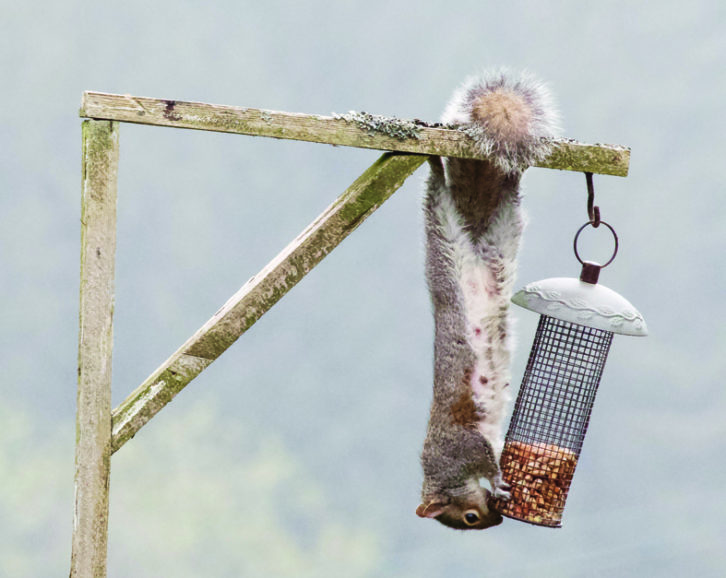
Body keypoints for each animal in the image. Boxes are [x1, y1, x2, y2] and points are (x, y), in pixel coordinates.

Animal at [418, 71, 560, 528]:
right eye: (471, 520)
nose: (496, 519)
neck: (444, 474)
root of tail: (475, 243)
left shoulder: (461, 446)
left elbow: (486, 458)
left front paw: (498, 480)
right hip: (502, 233)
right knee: (509, 197)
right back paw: (515, 175)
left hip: (443, 241)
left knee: (438, 201)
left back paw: (433, 166)